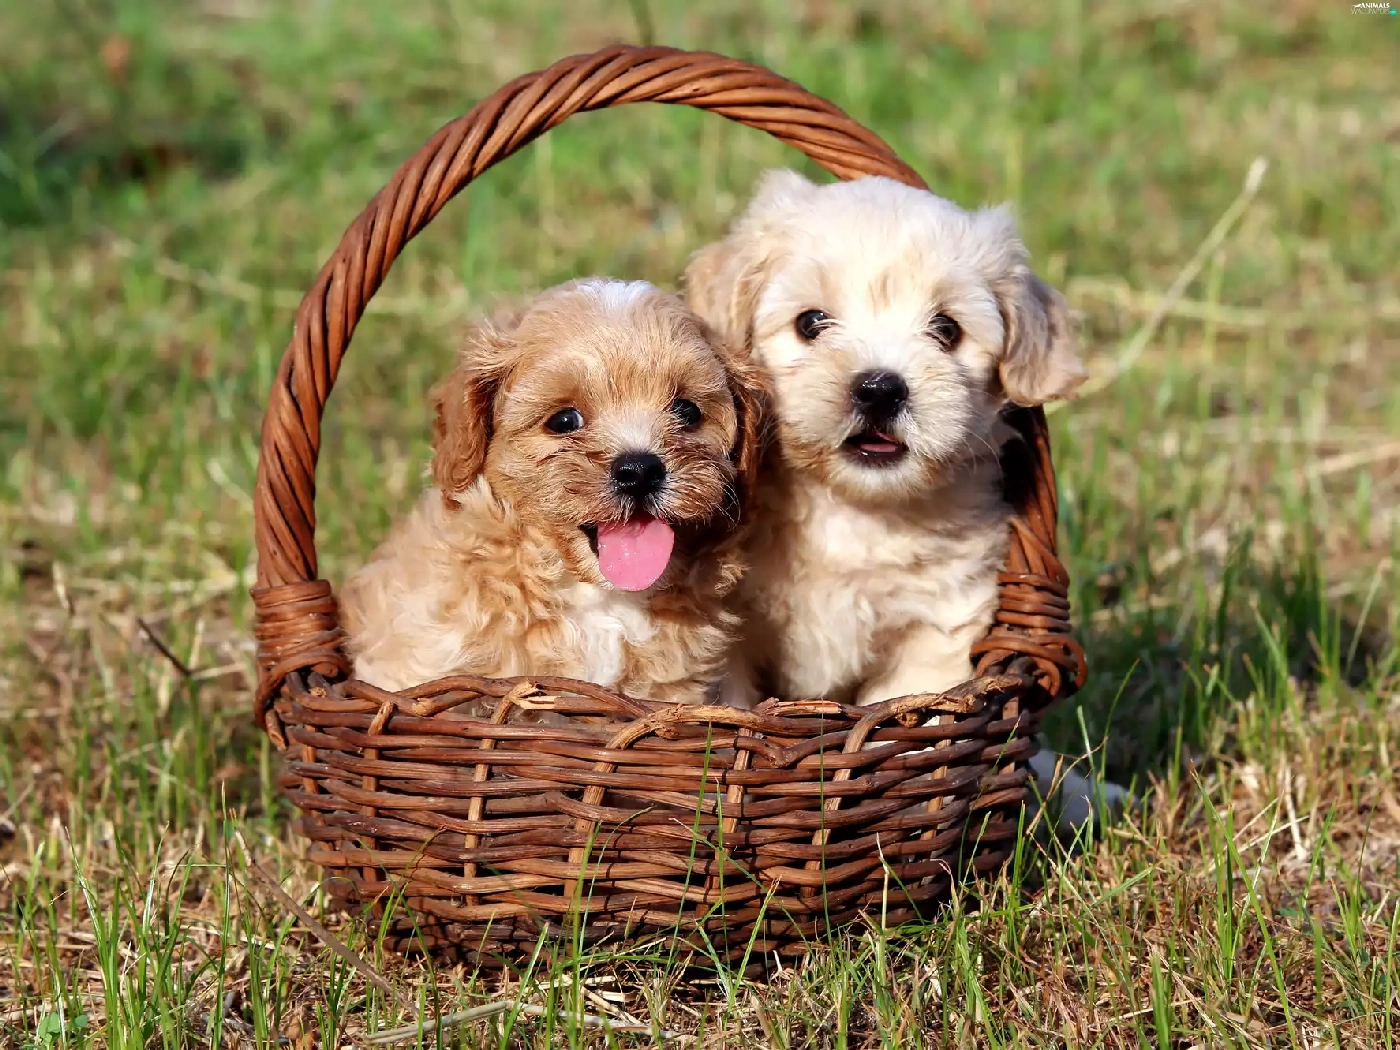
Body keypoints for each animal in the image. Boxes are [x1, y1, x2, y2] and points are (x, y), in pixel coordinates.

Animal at [685, 169, 1127, 830]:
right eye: (811, 323)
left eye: (947, 330)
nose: (879, 387)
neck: (850, 510)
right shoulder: (728, 633)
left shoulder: (935, 631)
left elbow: (904, 726)